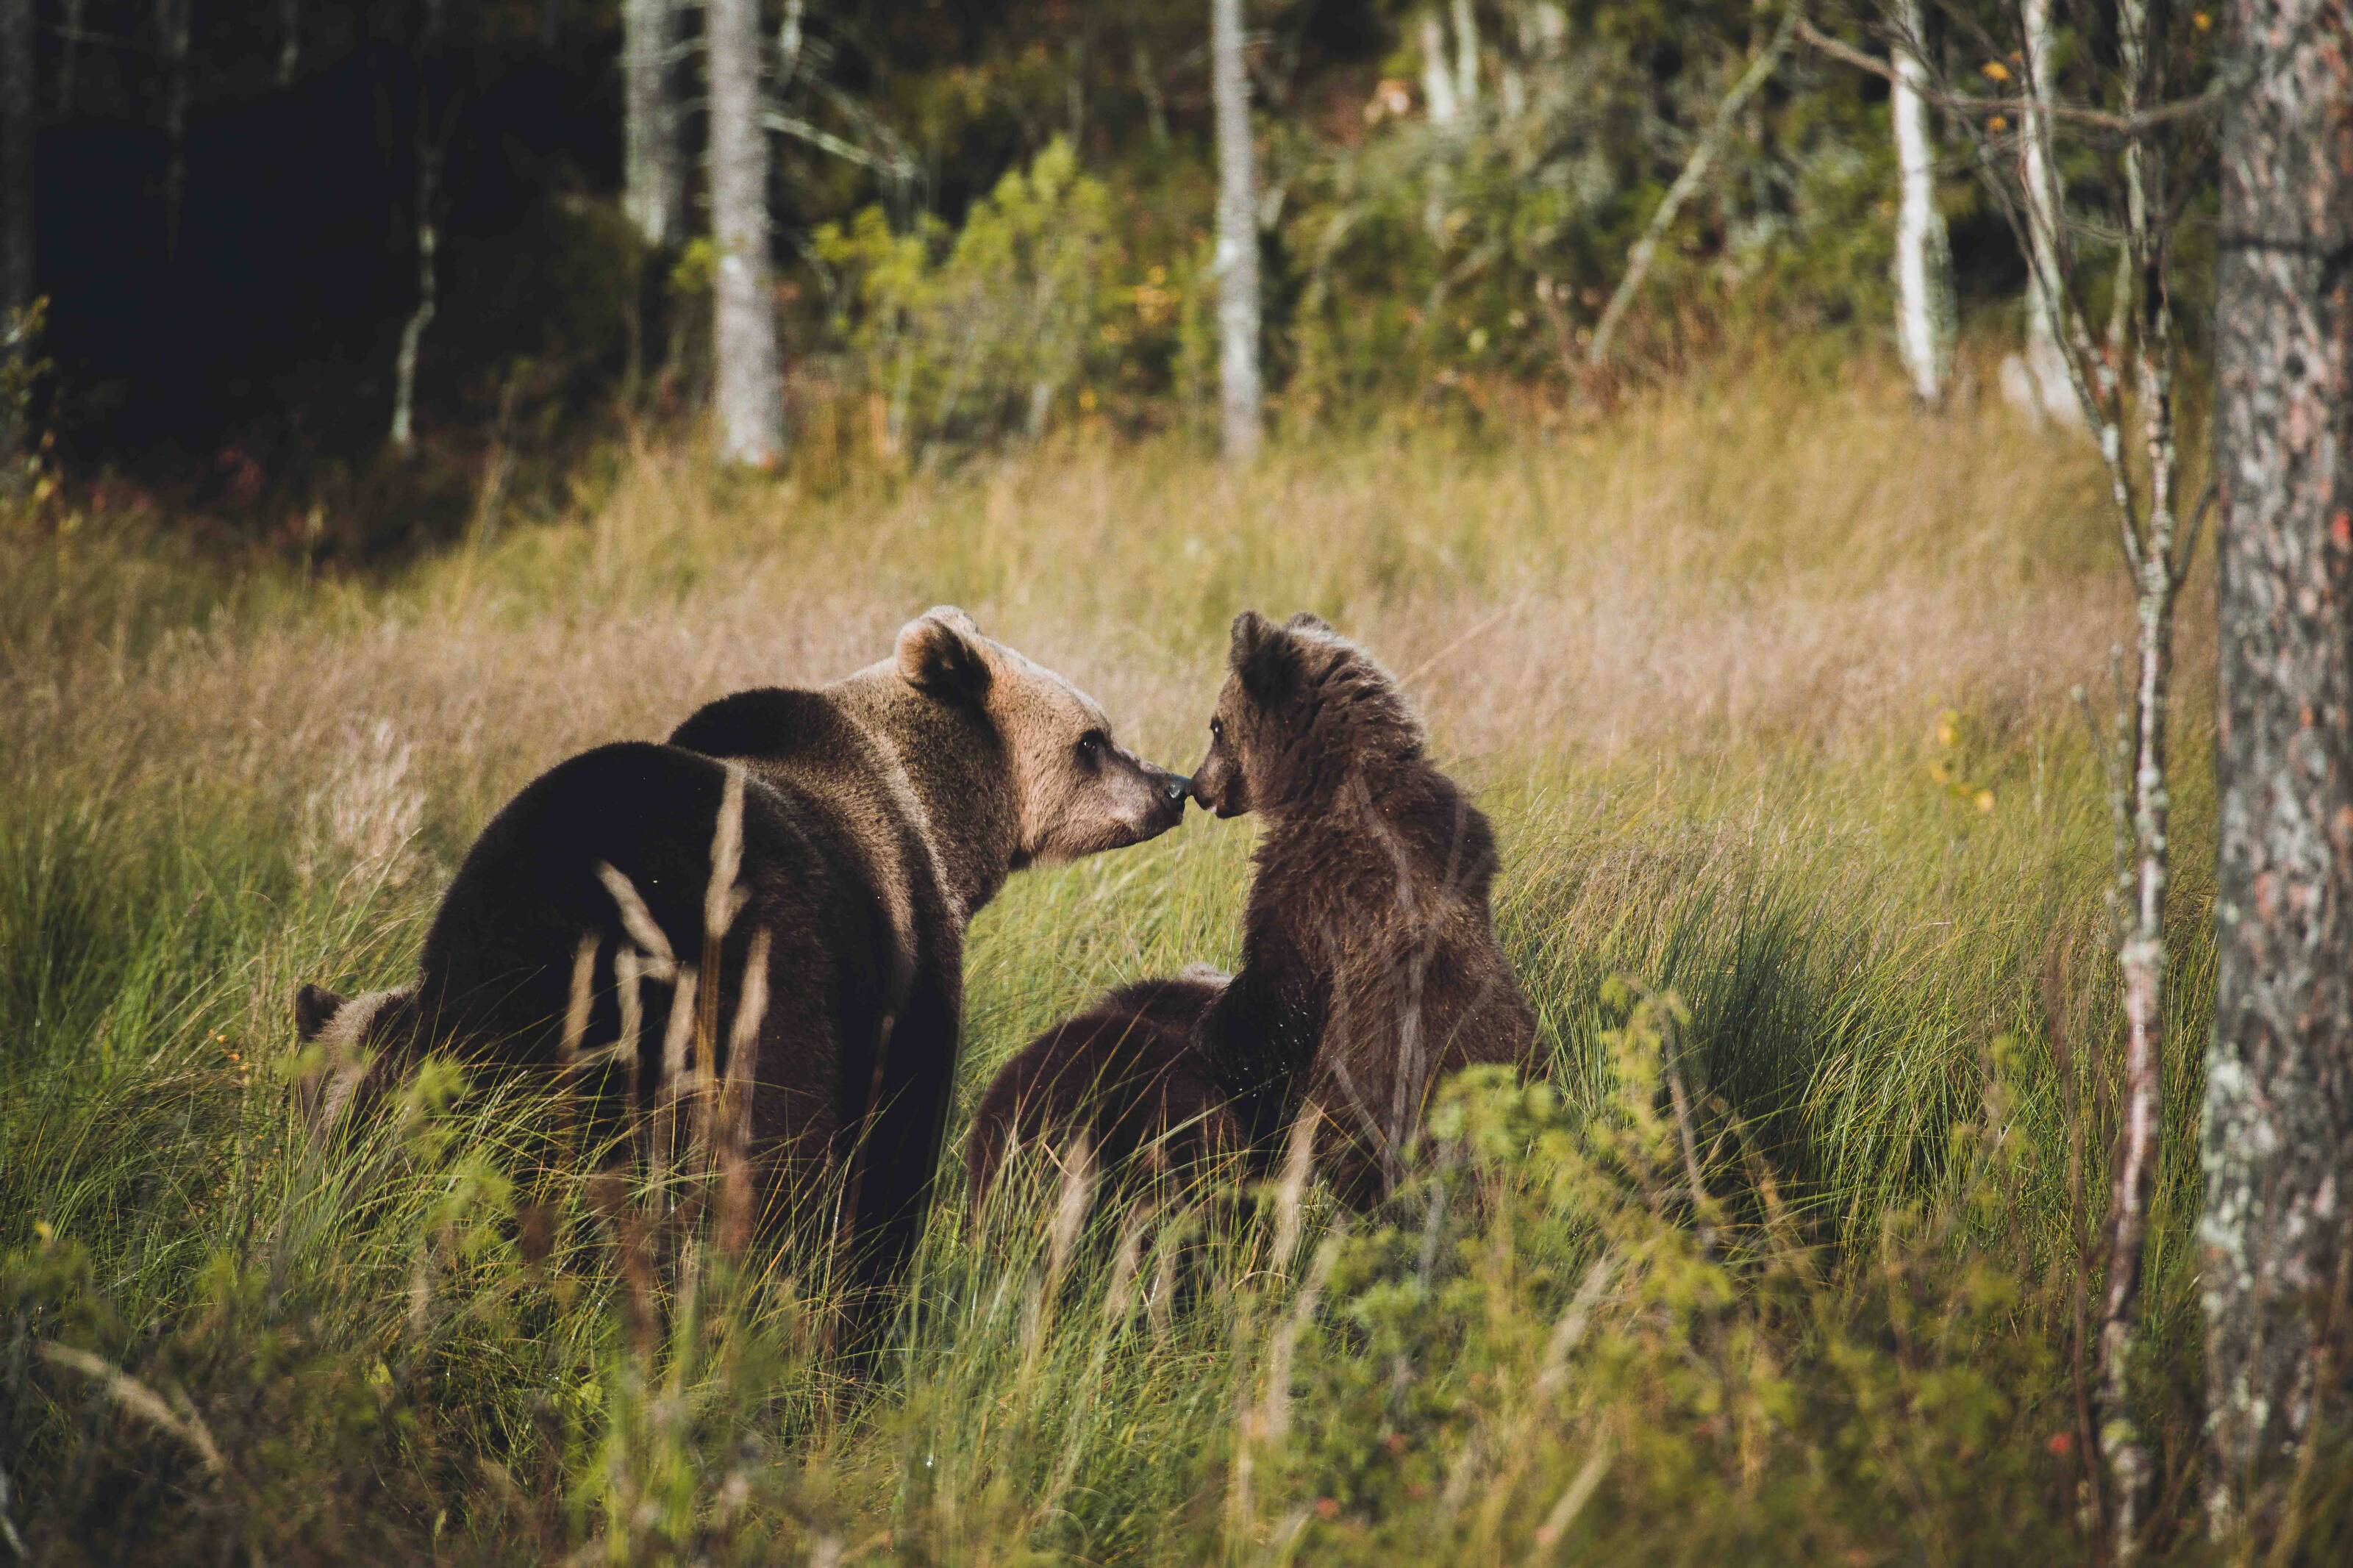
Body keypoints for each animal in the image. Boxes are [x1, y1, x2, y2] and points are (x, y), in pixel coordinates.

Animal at [299, 606, 1195, 1307]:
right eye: (1094, 739)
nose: (1174, 787)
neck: (939, 818)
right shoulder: (896, 963)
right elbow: (892, 1151)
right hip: (747, 984)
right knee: (771, 1177)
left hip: (489, 1000)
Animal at [965, 611, 1534, 1213]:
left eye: (1216, 726)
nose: (1195, 786)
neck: (1339, 781)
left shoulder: (1315, 888)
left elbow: (1272, 992)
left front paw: (1207, 1025)